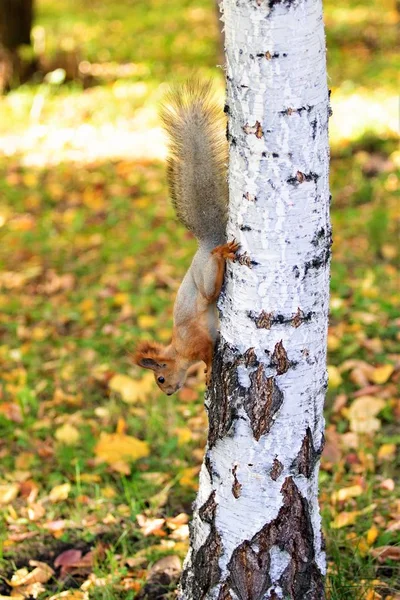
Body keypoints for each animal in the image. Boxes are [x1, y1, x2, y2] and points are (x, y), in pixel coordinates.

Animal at [134, 81, 239, 398]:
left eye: (160, 379)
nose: (169, 393)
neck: (178, 350)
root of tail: (206, 243)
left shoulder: (197, 342)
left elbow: (207, 355)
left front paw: (207, 373)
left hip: (205, 282)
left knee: (210, 288)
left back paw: (220, 254)